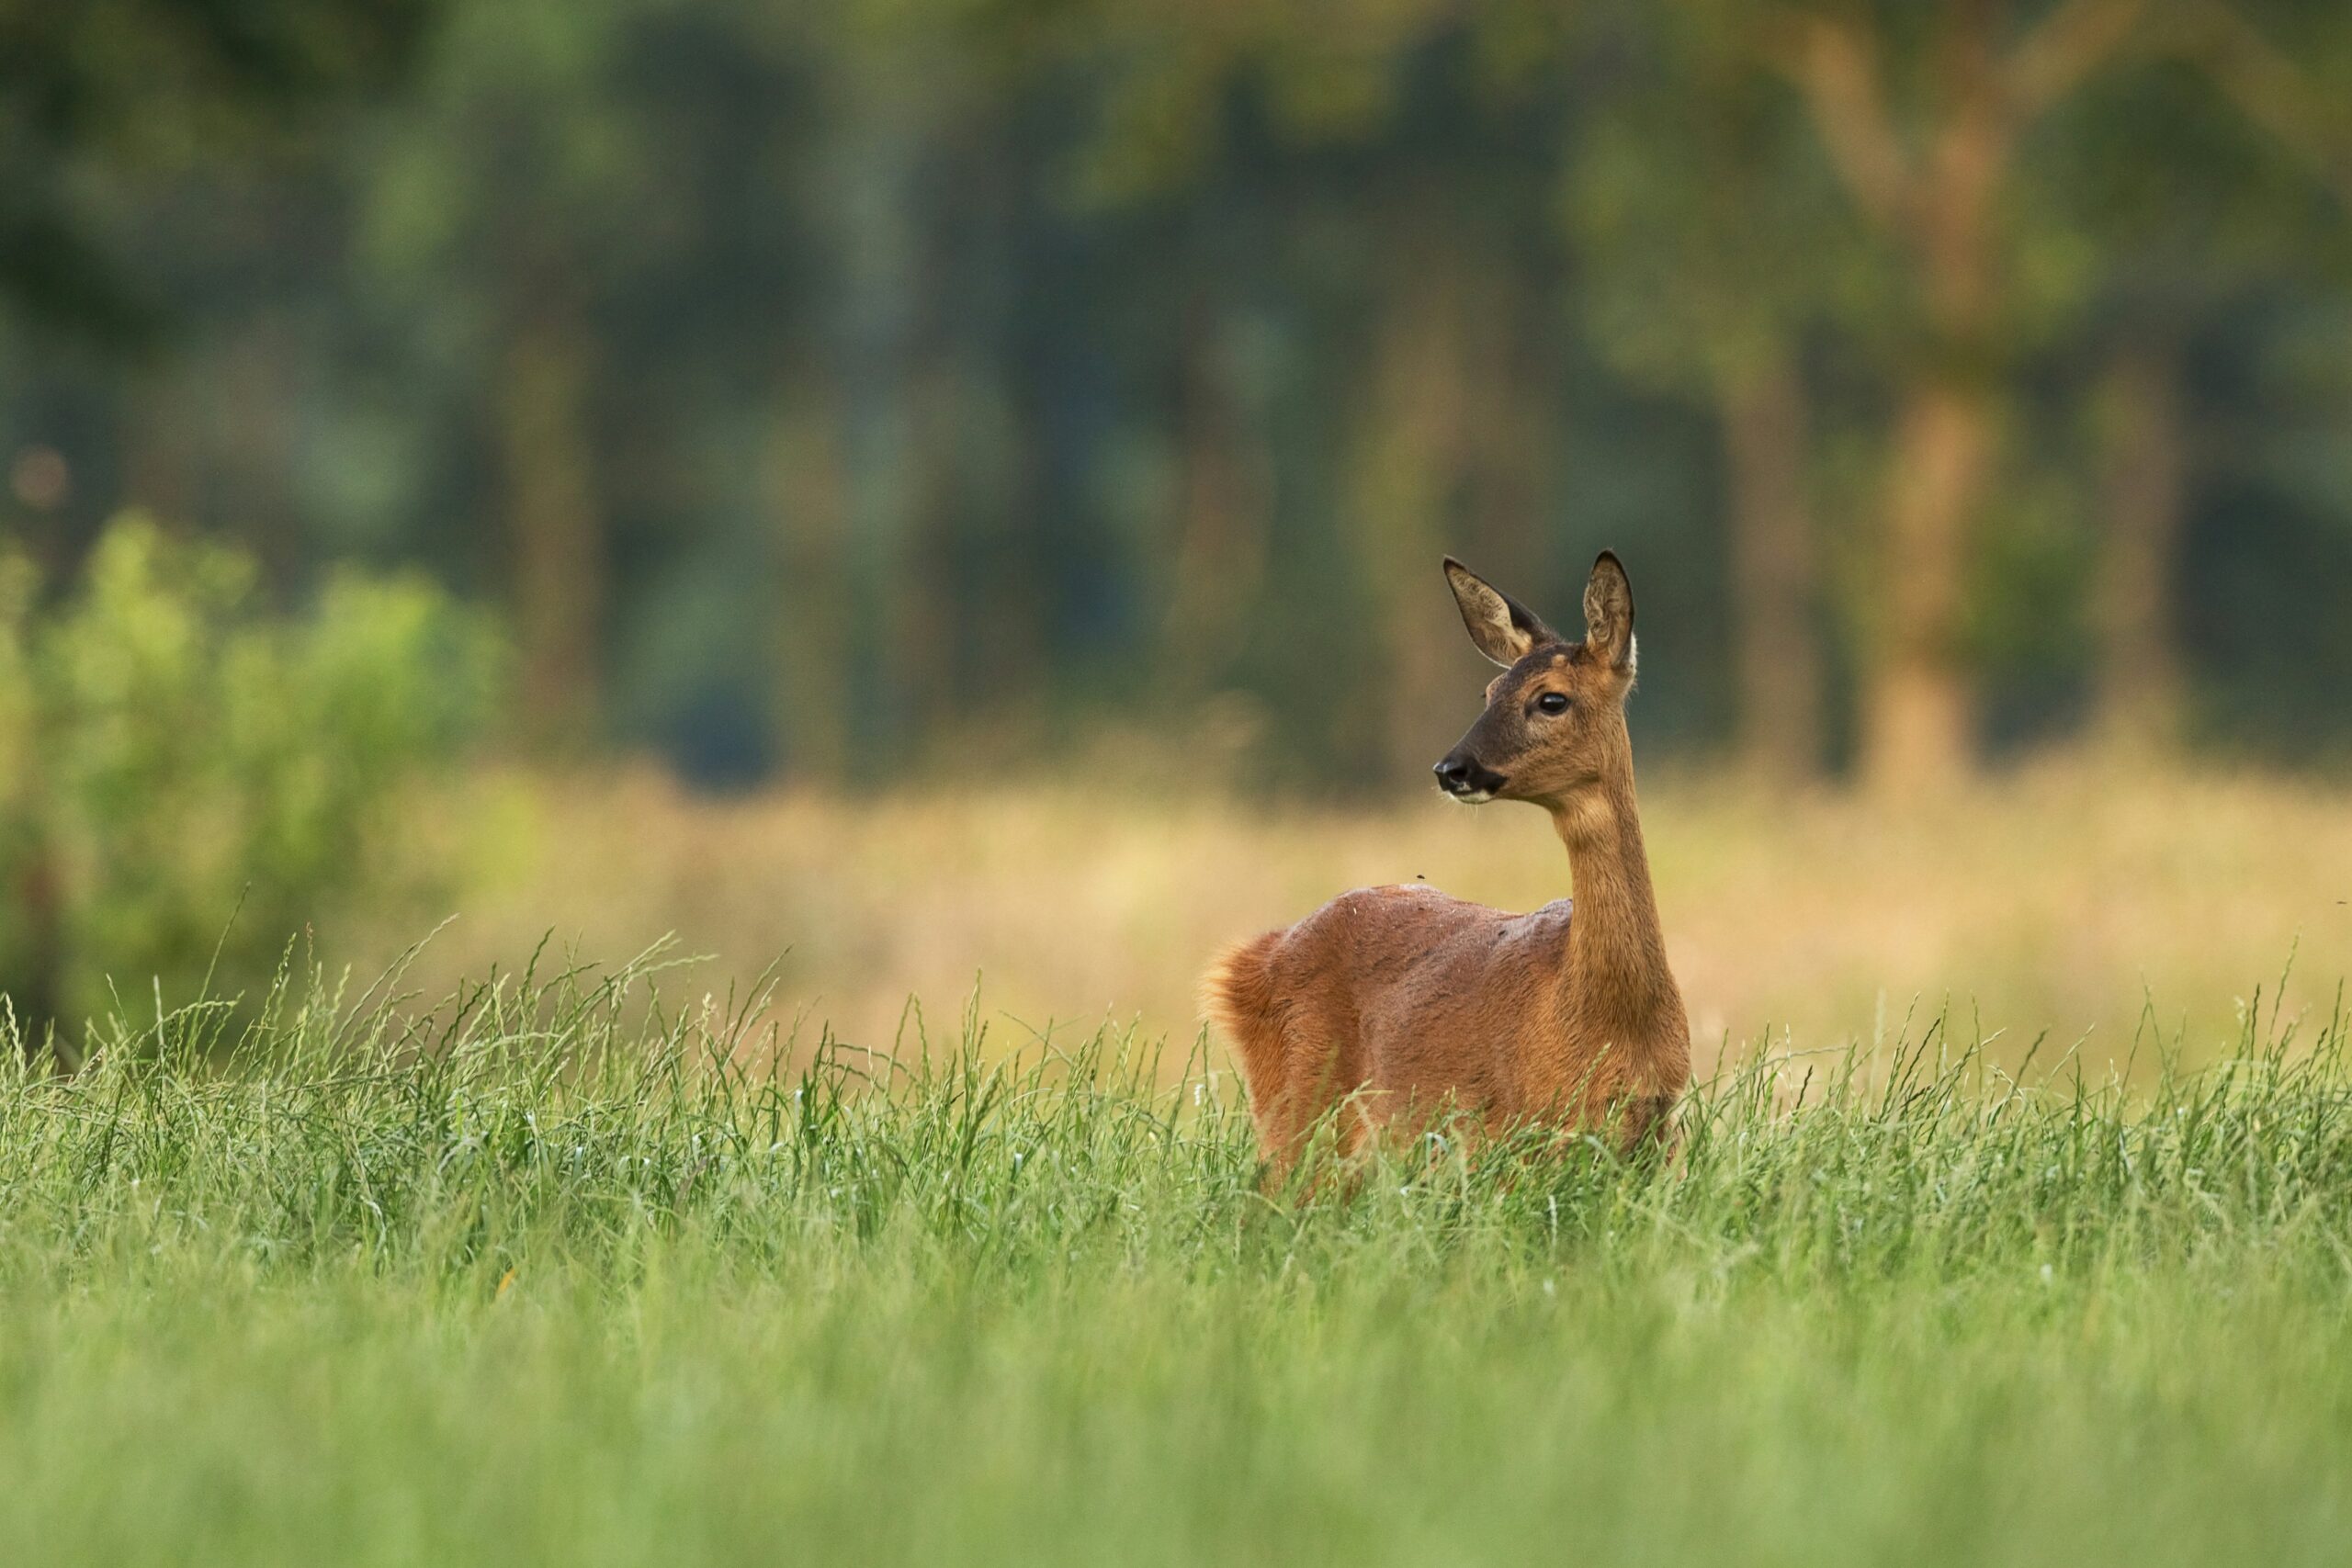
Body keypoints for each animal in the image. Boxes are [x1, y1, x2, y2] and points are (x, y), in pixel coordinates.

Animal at [1204, 554, 1683, 1175]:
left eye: (1551, 699)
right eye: (1489, 690)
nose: (1451, 768)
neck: (1609, 1018)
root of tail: (1251, 959)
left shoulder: (1659, 1132)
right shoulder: (1520, 1134)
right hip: (1300, 1105)